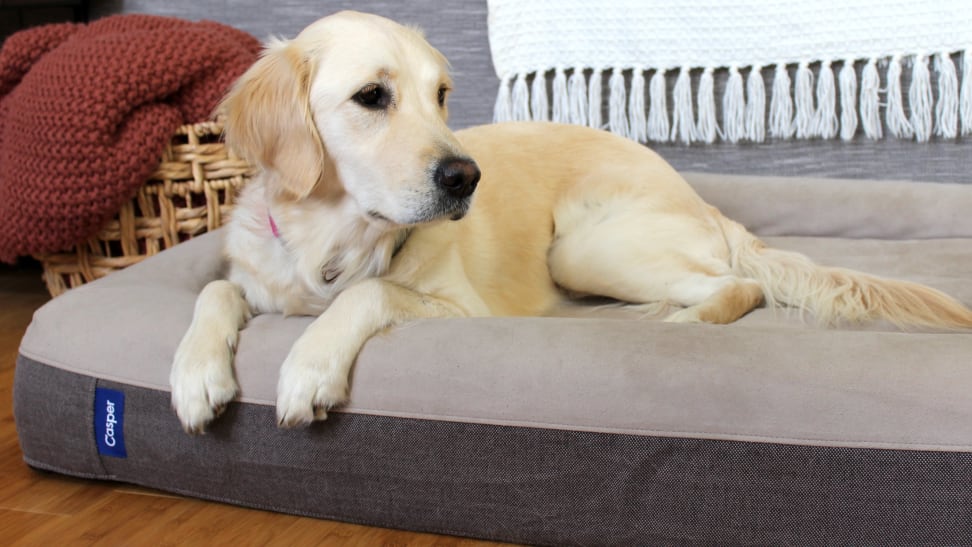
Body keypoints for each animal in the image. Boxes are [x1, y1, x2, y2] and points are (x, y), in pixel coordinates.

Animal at [171, 10, 972, 434]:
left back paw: (677, 321)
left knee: (737, 287)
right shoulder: (257, 274)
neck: (331, 239)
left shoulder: (459, 307)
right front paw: (194, 373)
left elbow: (369, 292)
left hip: (581, 250)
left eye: (441, 94)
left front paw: (308, 366)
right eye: (372, 96)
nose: (466, 177)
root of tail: (703, 199)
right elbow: (214, 289)